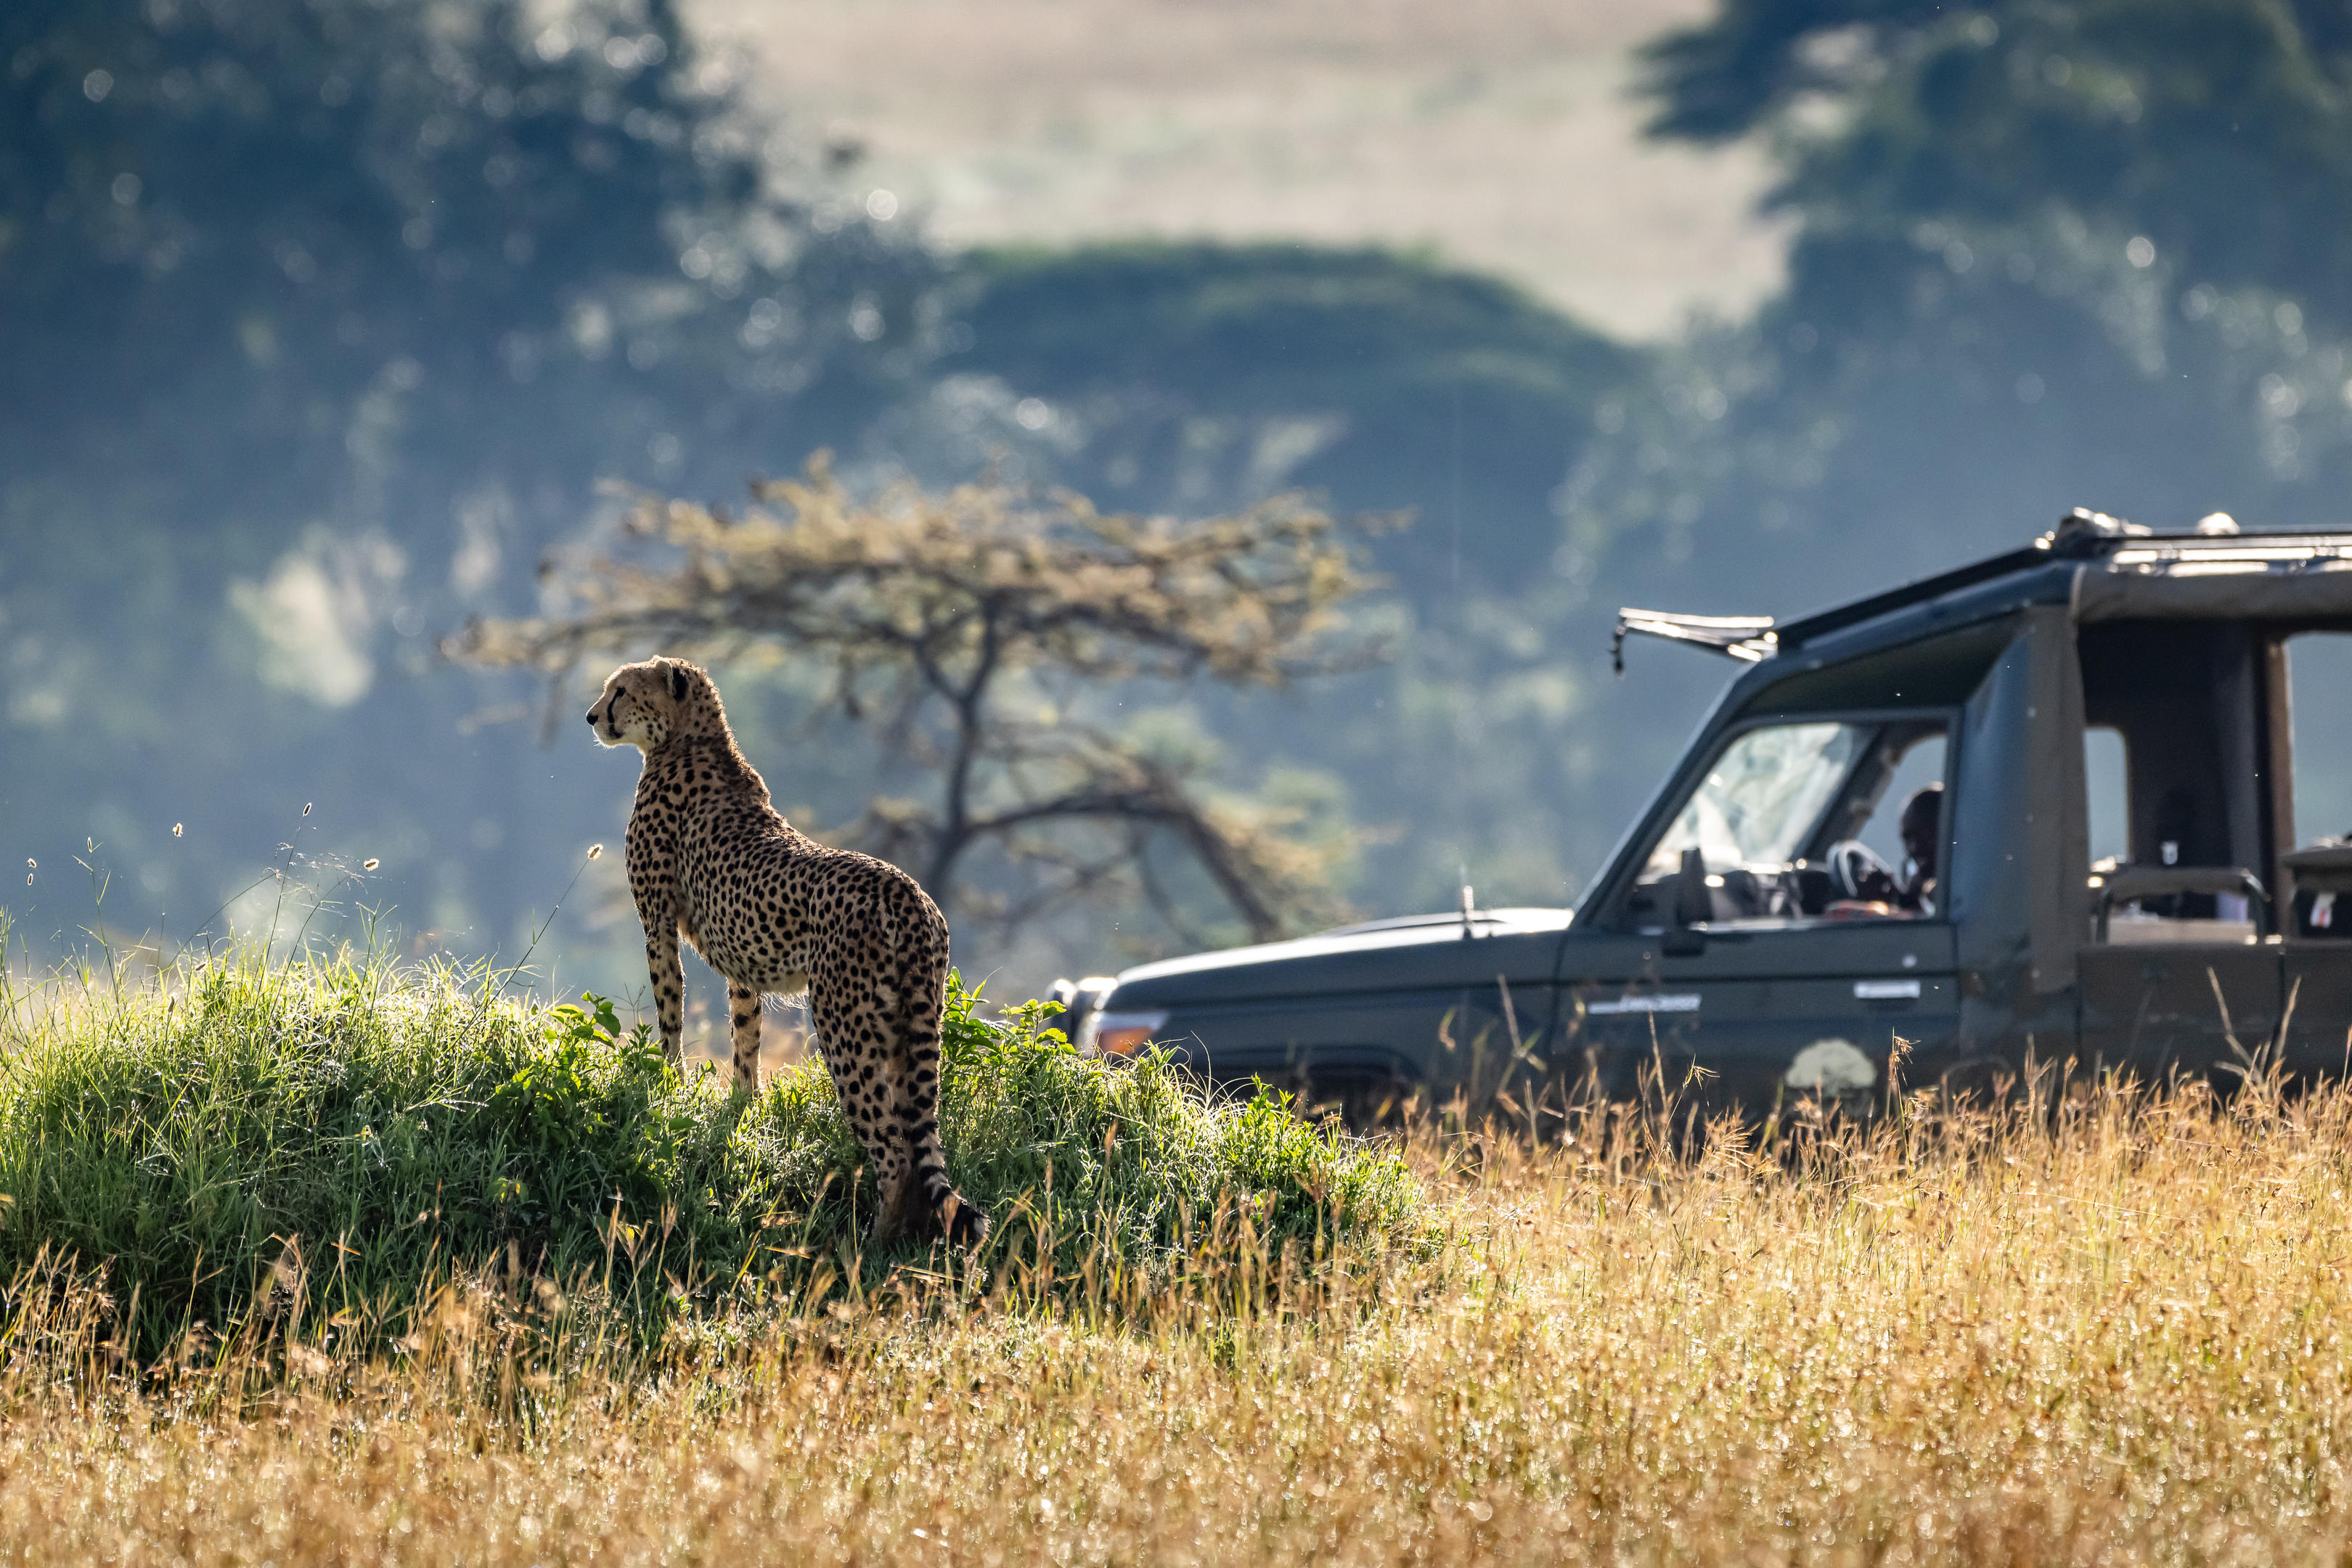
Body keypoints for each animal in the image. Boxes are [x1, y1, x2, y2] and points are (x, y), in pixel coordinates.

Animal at [586, 655, 987, 1247]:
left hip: (844, 1023)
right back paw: (903, 1238)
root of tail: (909, 893)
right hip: (912, 1023)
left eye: (620, 691)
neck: (689, 738)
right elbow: (746, 1037)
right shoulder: (743, 964)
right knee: (919, 1141)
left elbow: (670, 1012)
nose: (592, 717)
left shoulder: (656, 924)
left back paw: (870, 1246)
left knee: (893, 1149)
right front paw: (739, 1110)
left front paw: (666, 1087)